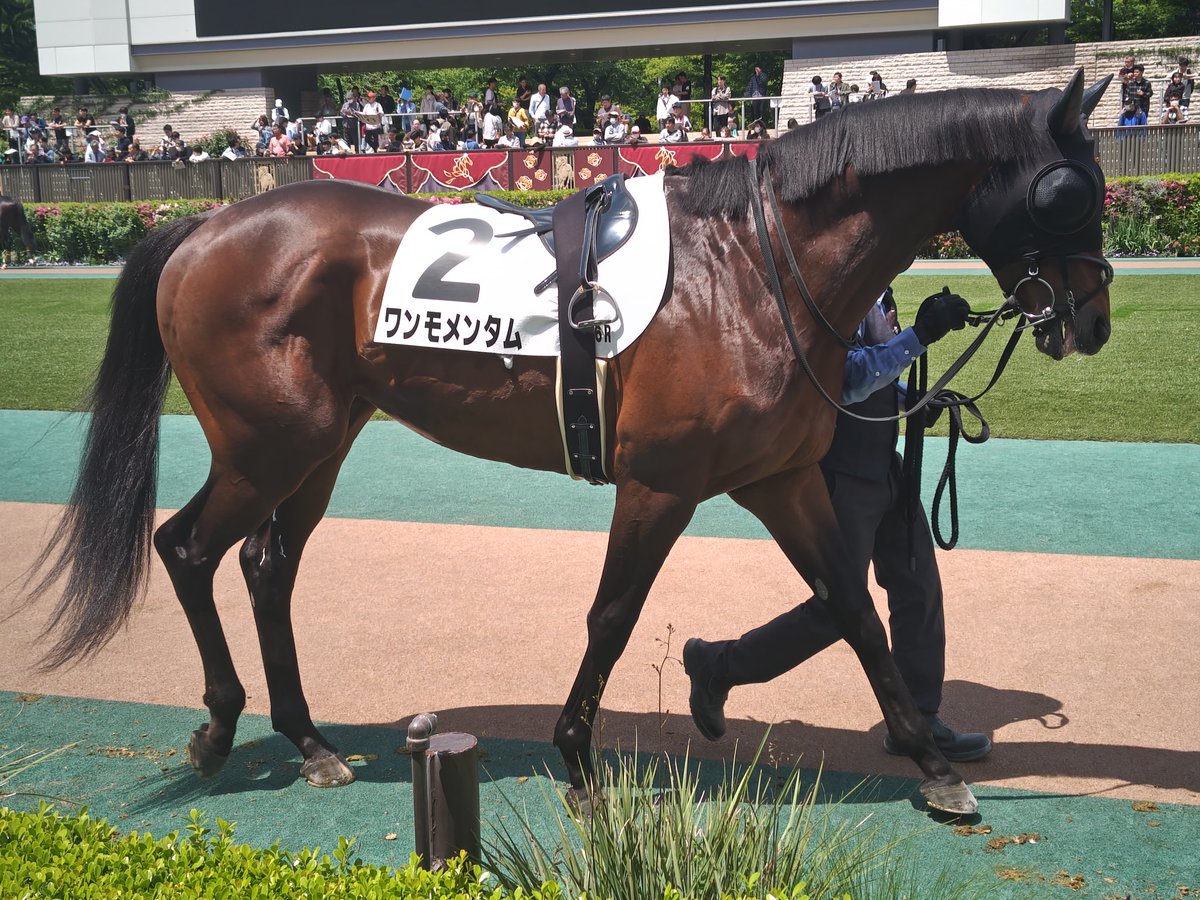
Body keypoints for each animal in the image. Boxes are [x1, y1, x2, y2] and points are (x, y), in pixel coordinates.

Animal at [28, 70, 1113, 816]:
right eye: (1068, 192)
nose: (1092, 321)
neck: (752, 268)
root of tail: (205, 225)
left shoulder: (782, 478)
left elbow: (852, 605)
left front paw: (930, 763)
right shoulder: (660, 483)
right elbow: (613, 616)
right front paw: (579, 758)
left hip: (319, 446)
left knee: (266, 566)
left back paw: (307, 739)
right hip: (267, 445)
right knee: (187, 548)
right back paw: (219, 730)